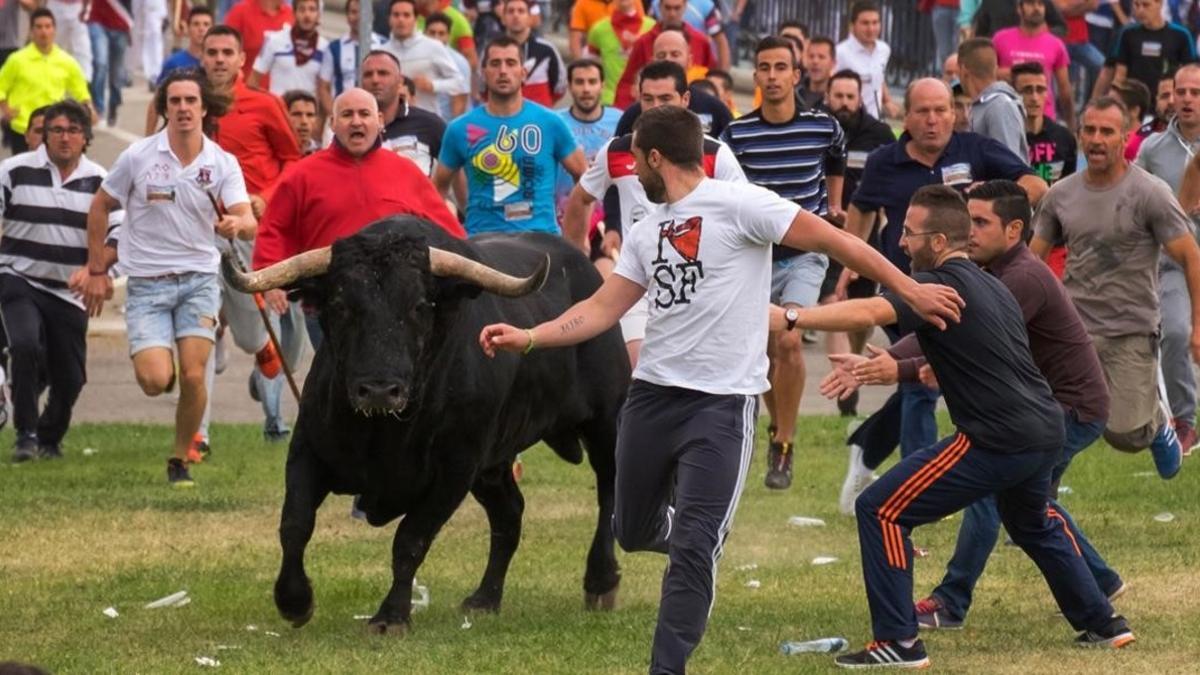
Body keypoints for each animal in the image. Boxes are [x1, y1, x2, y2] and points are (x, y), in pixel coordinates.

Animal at [226, 216, 638, 629]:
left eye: (420, 306)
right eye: (340, 305)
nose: (379, 390)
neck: (382, 433)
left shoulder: (454, 471)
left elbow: (411, 539)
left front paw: (392, 615)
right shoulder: (308, 450)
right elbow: (295, 524)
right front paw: (294, 600)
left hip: (605, 422)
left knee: (608, 491)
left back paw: (600, 580)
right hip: (494, 464)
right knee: (509, 513)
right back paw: (485, 597)